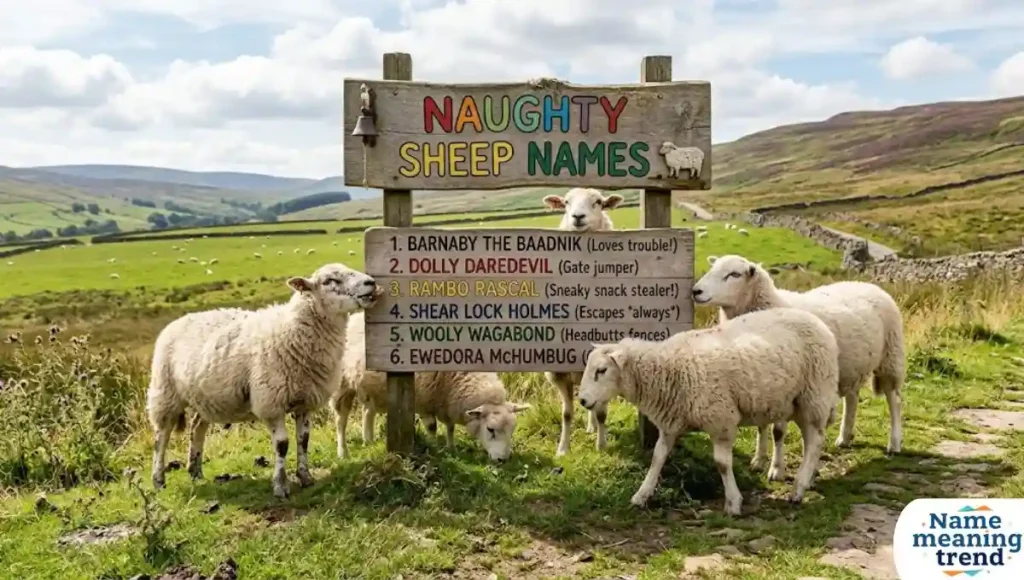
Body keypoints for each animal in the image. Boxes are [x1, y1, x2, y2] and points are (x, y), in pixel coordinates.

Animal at [146, 263, 382, 498]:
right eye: (329, 281)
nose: (371, 282)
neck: (293, 331)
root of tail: (178, 321)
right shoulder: (271, 402)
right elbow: (282, 444)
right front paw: (280, 485)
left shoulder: (305, 401)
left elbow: (303, 440)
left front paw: (305, 477)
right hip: (165, 392)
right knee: (161, 436)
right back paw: (158, 480)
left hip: (206, 397)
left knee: (197, 427)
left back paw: (195, 471)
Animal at [329, 312, 530, 461]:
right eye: (490, 429)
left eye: (512, 430)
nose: (503, 460)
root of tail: (355, 317)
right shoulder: (423, 402)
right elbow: (433, 427)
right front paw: (435, 448)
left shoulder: (447, 401)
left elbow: (450, 427)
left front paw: (450, 447)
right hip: (342, 385)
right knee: (341, 420)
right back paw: (343, 452)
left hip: (372, 390)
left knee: (367, 412)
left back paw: (369, 441)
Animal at [540, 187, 624, 456]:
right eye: (566, 202)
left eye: (598, 202)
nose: (577, 216)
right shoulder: (559, 374)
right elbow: (567, 414)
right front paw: (562, 449)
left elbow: (602, 413)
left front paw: (601, 445)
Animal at [578, 307, 840, 515]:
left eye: (601, 370)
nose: (582, 400)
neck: (670, 369)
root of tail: (816, 321)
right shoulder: (670, 424)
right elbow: (657, 459)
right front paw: (641, 495)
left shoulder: (722, 420)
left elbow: (722, 464)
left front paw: (733, 503)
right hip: (798, 402)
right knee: (811, 441)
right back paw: (806, 480)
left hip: (814, 395)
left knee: (816, 441)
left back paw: (798, 489)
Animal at [691, 254, 905, 466]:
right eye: (713, 268)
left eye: (734, 274)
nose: (696, 291)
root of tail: (869, 285)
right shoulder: (760, 384)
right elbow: (762, 426)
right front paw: (759, 460)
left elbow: (778, 430)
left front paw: (775, 468)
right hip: (850, 367)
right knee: (852, 397)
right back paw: (844, 438)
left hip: (890, 356)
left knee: (894, 399)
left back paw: (894, 443)